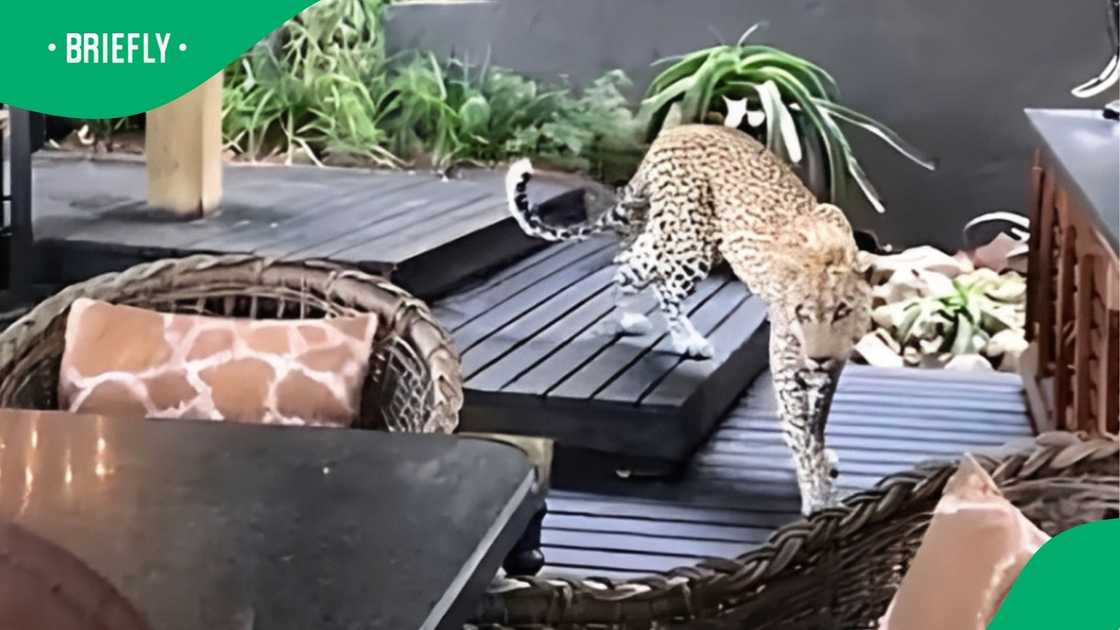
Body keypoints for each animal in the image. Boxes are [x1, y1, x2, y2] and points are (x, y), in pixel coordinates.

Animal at [504, 123, 872, 514]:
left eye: (842, 311)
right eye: (800, 312)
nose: (817, 356)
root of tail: (676, 130)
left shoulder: (829, 371)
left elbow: (816, 425)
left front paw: (820, 462)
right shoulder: (788, 367)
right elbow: (802, 433)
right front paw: (818, 497)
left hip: (688, 240)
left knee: (635, 262)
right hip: (688, 243)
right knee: (639, 269)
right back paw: (667, 332)